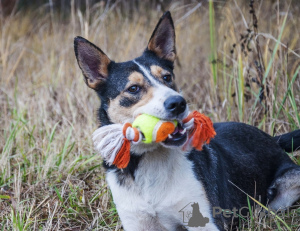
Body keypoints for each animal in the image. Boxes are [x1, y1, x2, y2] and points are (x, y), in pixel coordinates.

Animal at [74, 12, 300, 231]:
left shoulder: (207, 223)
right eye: (133, 89)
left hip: (289, 184)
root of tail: (270, 138)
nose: (178, 103)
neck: (150, 160)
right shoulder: (137, 222)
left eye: (167, 77)